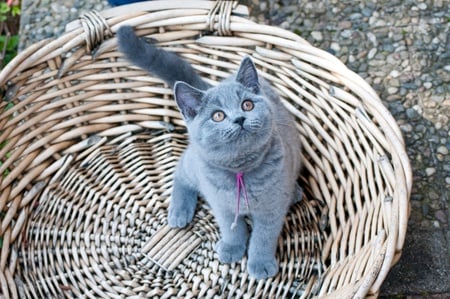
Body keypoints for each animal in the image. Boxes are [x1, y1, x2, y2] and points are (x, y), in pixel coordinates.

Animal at [118, 26, 304, 282]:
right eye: (218, 116)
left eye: (247, 105)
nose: (239, 118)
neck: (240, 172)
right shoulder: (220, 205)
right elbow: (232, 229)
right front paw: (232, 248)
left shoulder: (271, 209)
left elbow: (263, 237)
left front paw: (260, 263)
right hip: (195, 164)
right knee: (180, 172)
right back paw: (179, 212)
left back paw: (295, 193)